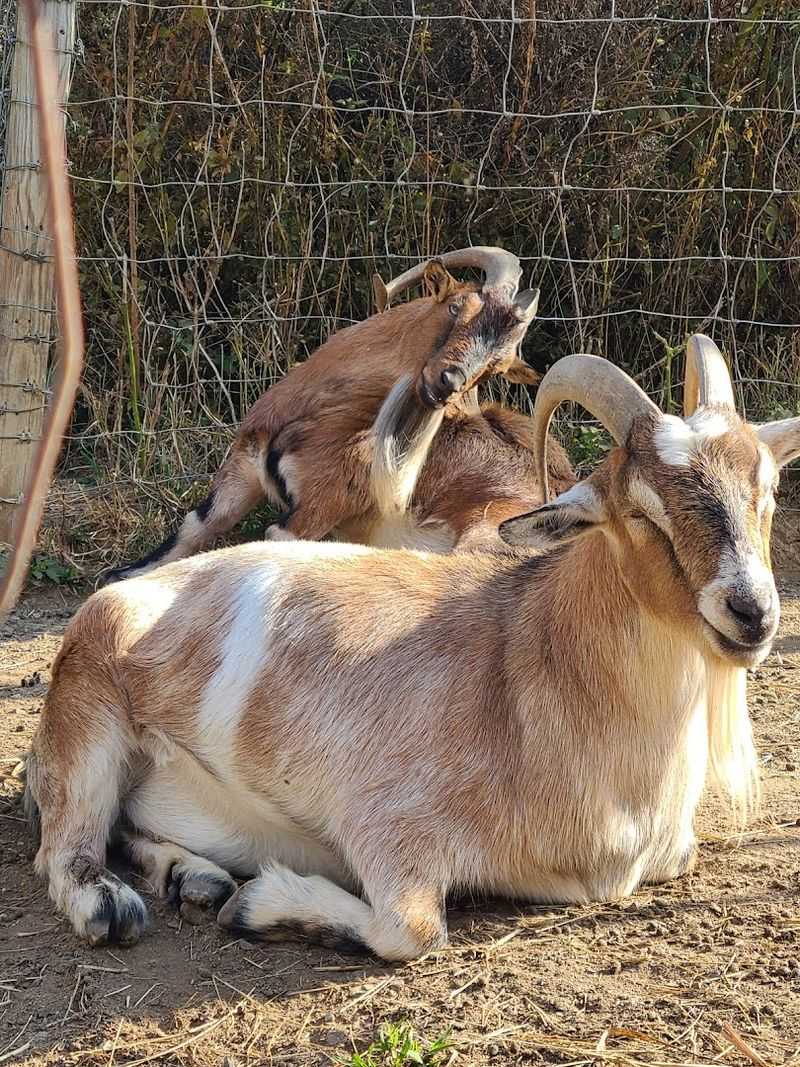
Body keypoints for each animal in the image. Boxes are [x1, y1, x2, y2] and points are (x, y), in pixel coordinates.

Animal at [28, 335, 799, 959]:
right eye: (641, 511)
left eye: (767, 492)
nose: (751, 612)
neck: (534, 663)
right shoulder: (386, 825)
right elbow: (414, 930)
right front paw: (263, 905)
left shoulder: (670, 850)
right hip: (89, 717)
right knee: (65, 847)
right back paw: (124, 902)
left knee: (125, 826)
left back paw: (197, 878)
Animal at [105, 248, 542, 581]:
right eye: (456, 306)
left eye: (497, 366)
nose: (448, 382)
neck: (312, 413)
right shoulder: (237, 477)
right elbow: (183, 536)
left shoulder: (316, 510)